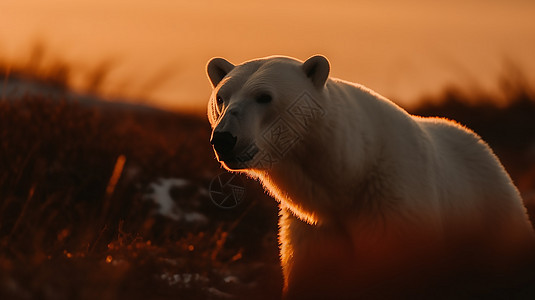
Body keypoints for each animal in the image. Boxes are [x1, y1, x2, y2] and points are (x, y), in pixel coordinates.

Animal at [205, 55, 535, 298]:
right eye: (221, 97)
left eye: (264, 96)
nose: (224, 138)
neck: (349, 177)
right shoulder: (311, 230)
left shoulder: (393, 206)